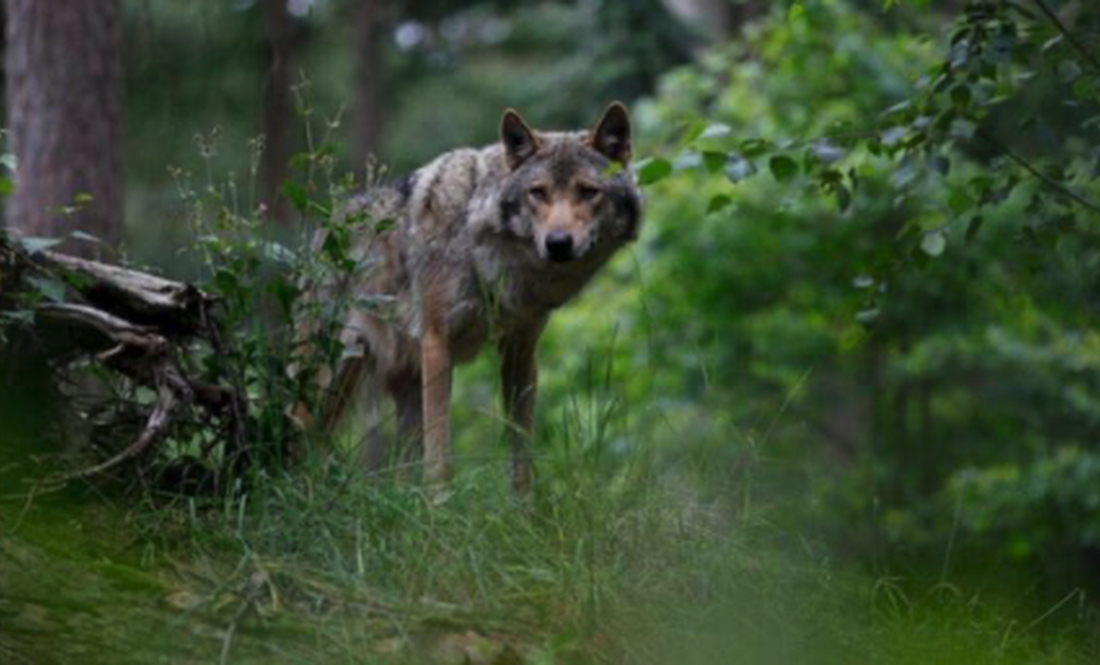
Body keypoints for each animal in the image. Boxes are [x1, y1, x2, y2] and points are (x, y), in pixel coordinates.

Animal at [301, 101, 642, 490]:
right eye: (538, 192)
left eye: (588, 191)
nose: (558, 243)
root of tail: (322, 228)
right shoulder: (437, 342)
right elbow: (440, 461)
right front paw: (439, 505)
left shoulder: (521, 351)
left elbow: (521, 457)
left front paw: (523, 506)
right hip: (324, 383)